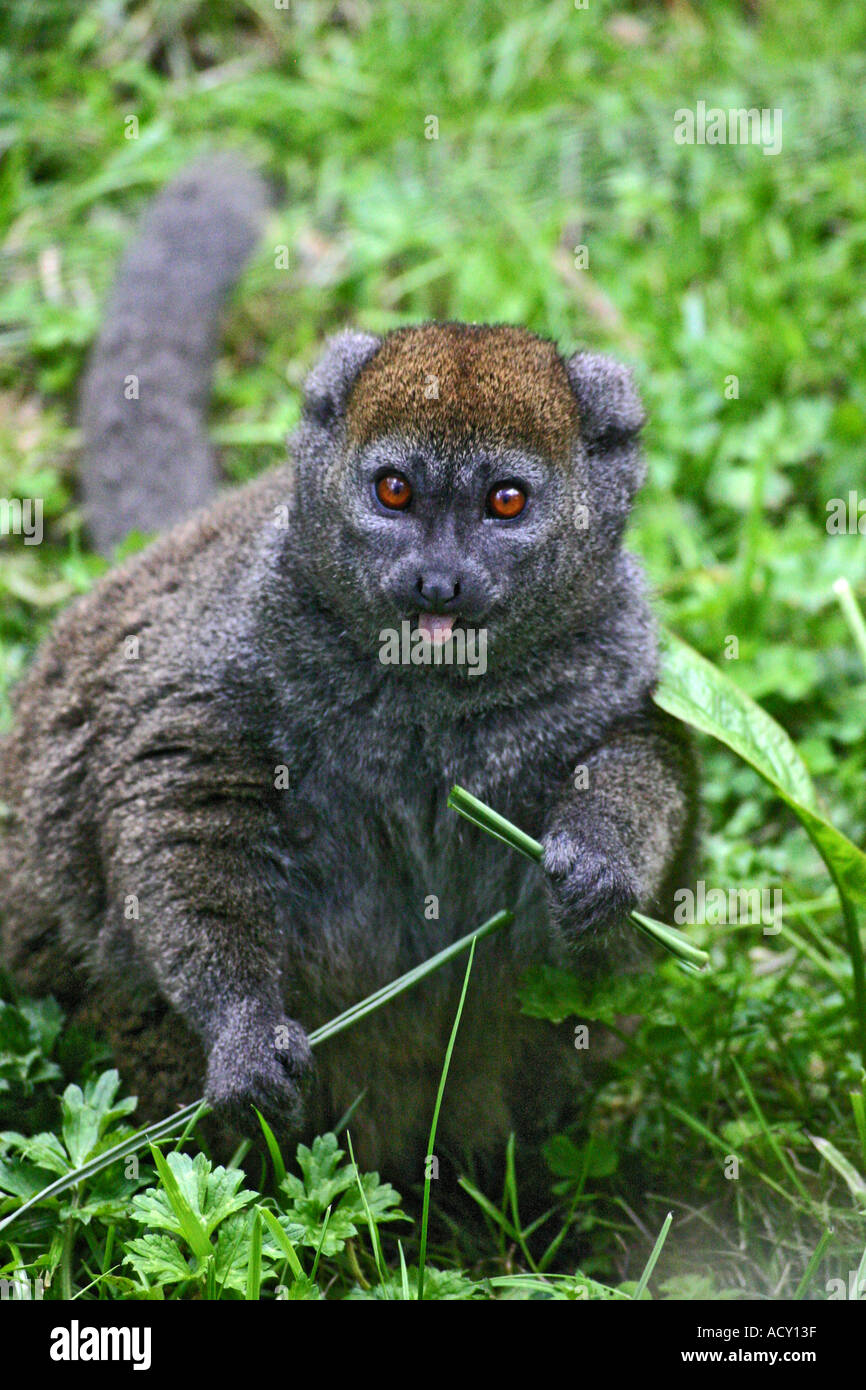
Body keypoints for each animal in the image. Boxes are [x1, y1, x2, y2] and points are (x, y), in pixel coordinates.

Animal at [0, 159, 698, 1184]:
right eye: (394, 490)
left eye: (506, 501)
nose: (437, 580)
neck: (430, 693)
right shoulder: (222, 665)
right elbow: (178, 805)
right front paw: (243, 1029)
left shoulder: (613, 661)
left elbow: (645, 758)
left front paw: (602, 857)